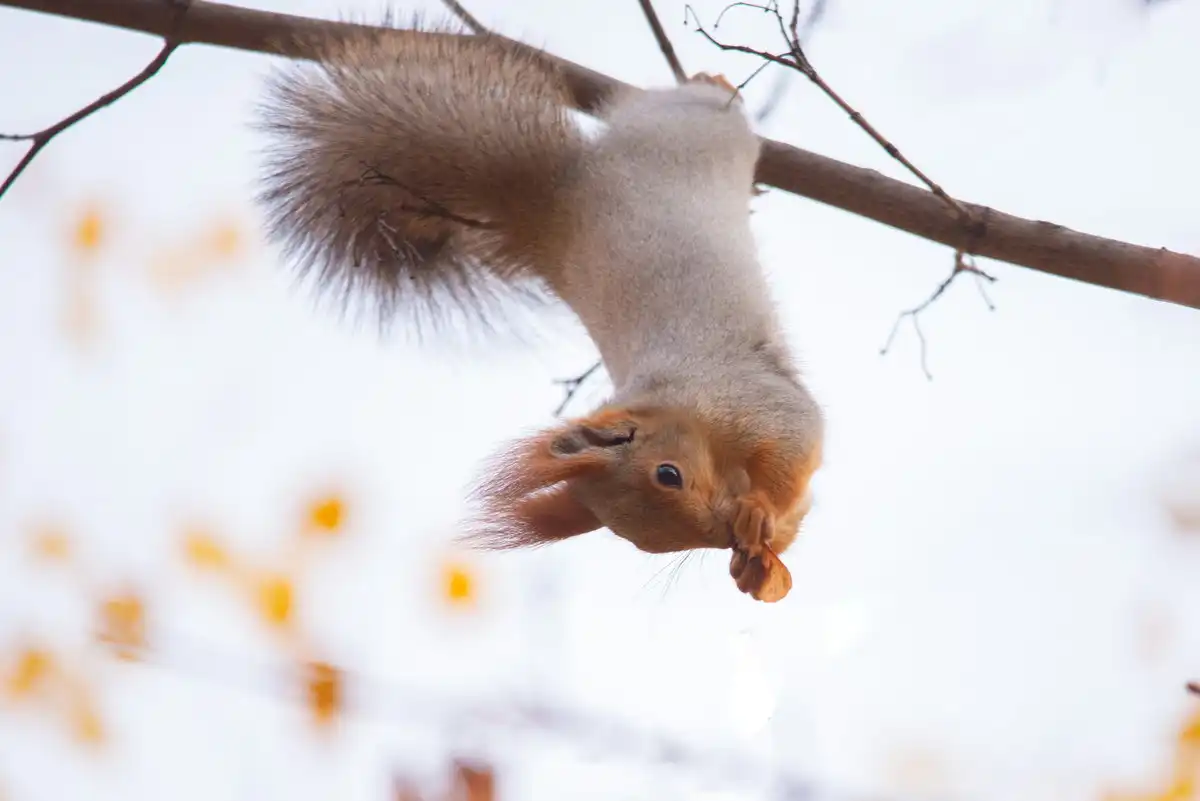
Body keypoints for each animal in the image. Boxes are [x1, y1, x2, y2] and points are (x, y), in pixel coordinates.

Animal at [255, 23, 825, 602]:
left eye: (669, 474)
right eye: (644, 544)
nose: (722, 532)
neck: (683, 412)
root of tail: (562, 194)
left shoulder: (750, 398)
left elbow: (794, 445)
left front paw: (757, 512)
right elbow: (796, 513)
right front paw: (753, 564)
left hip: (691, 130)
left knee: (695, 106)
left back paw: (712, 82)